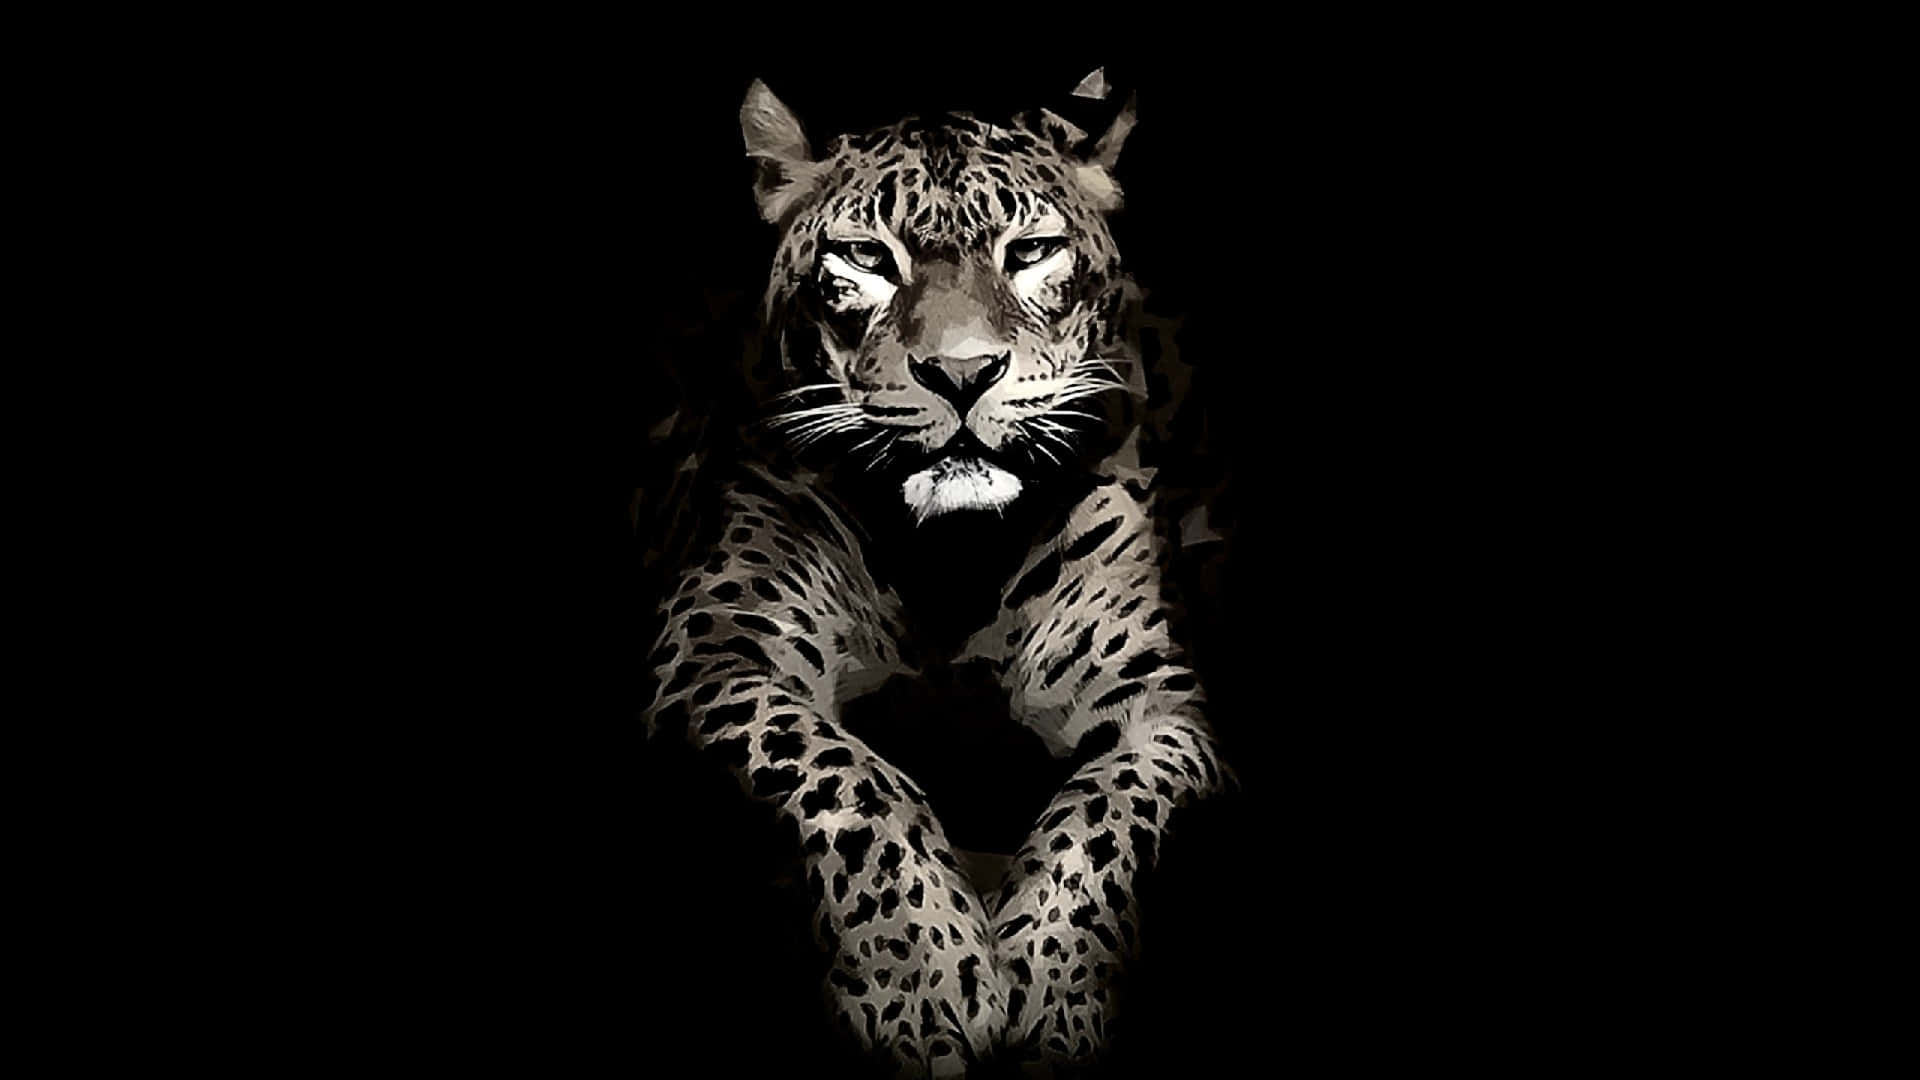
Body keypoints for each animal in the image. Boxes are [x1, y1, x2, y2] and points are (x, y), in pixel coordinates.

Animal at [640, 75, 1233, 1077]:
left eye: (1028, 251)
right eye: (866, 257)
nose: (962, 373)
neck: (951, 562)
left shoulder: (1160, 709)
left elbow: (1109, 812)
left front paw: (1050, 986)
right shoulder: (717, 651)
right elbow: (847, 778)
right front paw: (924, 978)